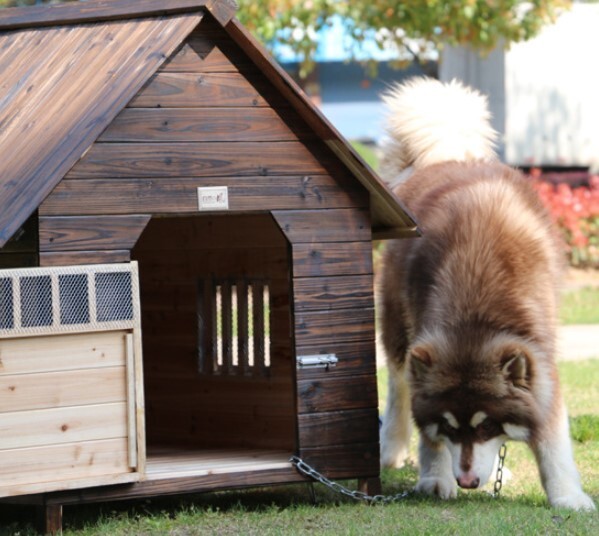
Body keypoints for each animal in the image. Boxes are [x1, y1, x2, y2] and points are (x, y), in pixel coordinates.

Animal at [380, 77, 596, 508]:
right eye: (449, 427)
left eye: (486, 427)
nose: (467, 481)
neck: (475, 316)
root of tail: (445, 159)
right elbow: (426, 433)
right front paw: (435, 476)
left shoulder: (539, 357)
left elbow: (552, 439)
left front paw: (567, 495)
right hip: (396, 326)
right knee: (397, 388)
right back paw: (390, 449)